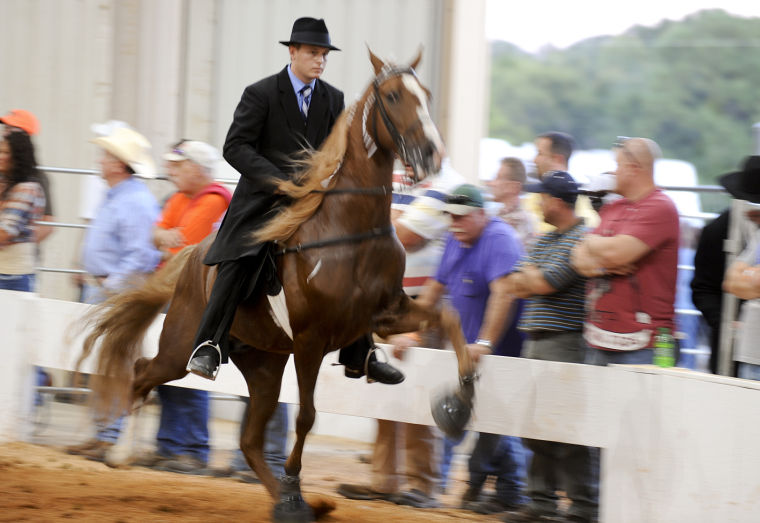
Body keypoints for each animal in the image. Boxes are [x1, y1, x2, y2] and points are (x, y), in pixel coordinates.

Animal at [78, 48, 476, 522]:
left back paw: (295, 502)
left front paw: (458, 405)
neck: (351, 231)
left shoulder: (387, 313)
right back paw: (122, 455)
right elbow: (306, 416)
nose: (433, 155)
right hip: (180, 346)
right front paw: (291, 488)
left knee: (249, 441)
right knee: (142, 374)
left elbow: (450, 317)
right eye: (395, 95)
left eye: (426, 95)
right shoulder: (310, 341)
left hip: (264, 364)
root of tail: (192, 256)